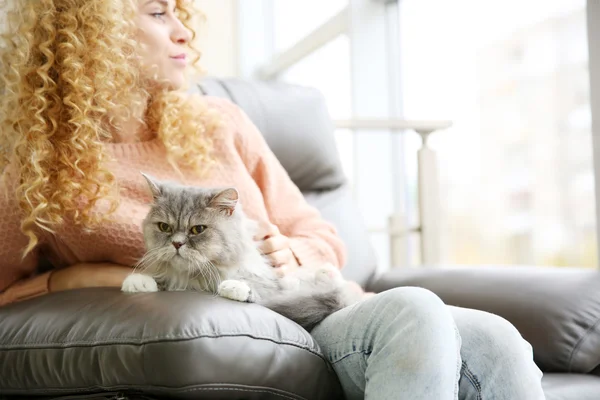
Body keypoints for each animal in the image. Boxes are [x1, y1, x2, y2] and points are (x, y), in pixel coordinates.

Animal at [122, 173, 360, 330]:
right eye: (164, 227)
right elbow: (159, 278)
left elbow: (257, 286)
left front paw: (233, 287)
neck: (193, 278)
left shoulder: (271, 281)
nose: (177, 244)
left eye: (198, 229)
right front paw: (138, 282)